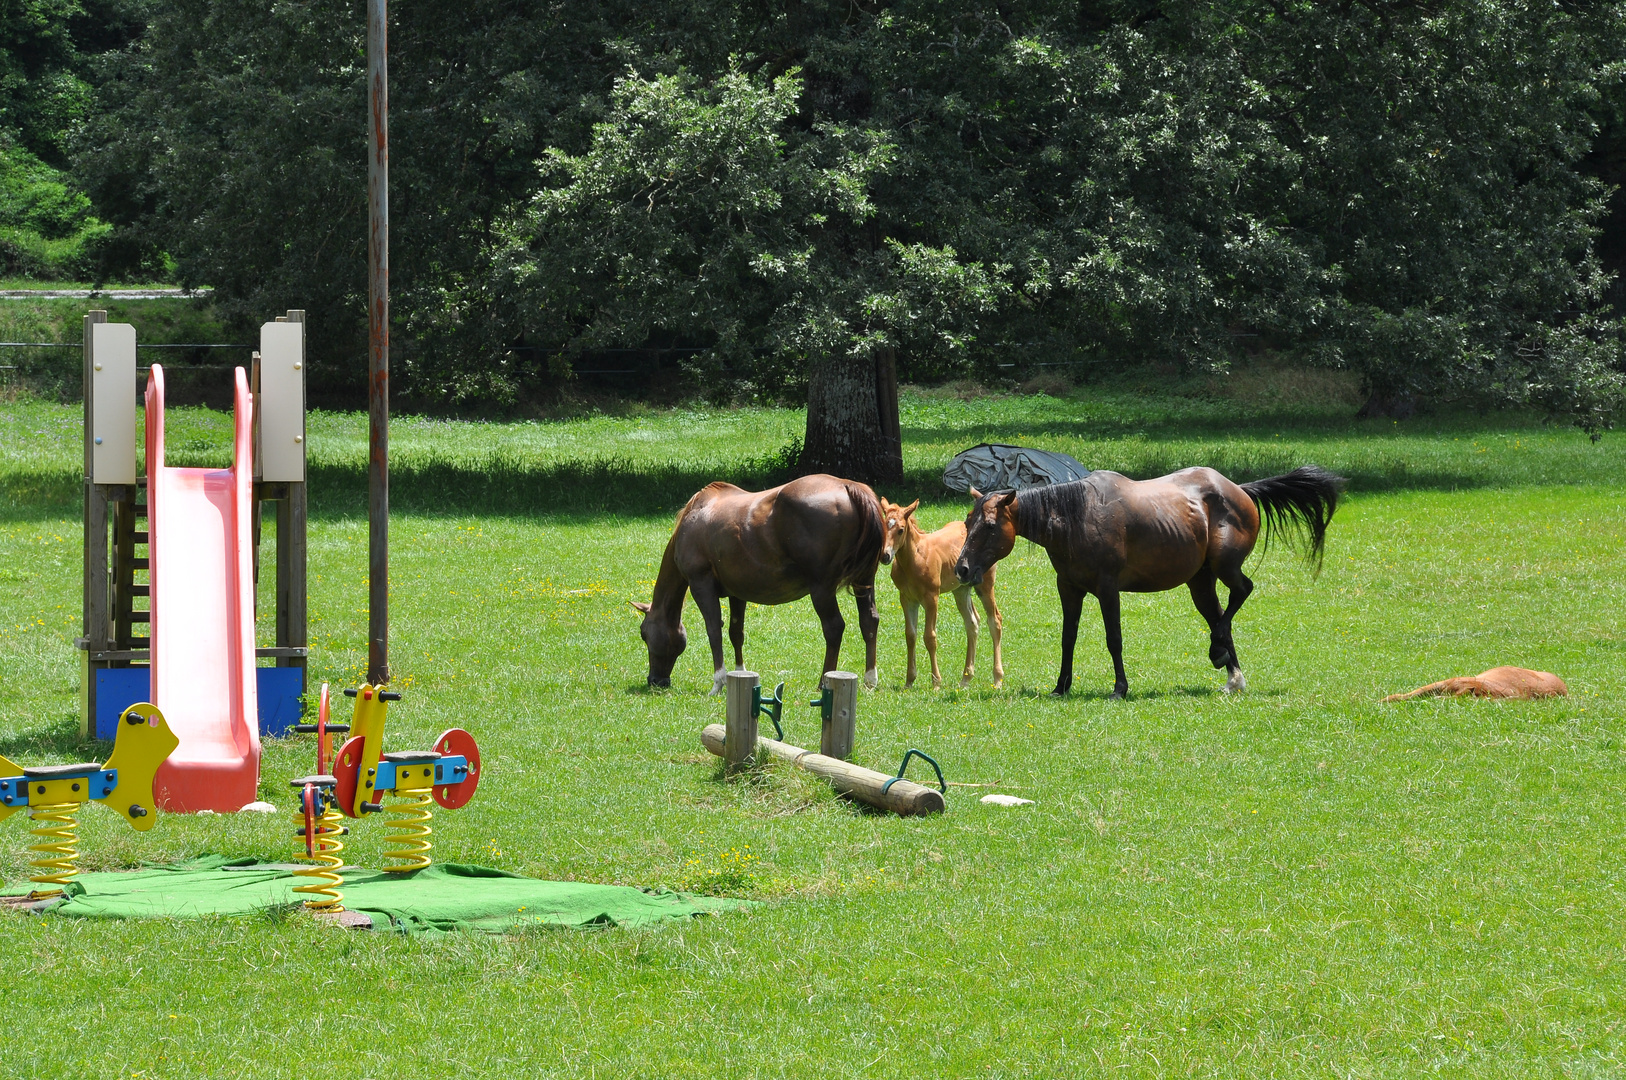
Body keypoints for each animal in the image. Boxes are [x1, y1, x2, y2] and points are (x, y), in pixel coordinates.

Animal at [634, 471, 891, 692]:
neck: (697, 513)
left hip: (822, 589)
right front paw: (739, 674)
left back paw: (823, 682)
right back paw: (870, 679)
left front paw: (719, 683)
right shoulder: (737, 592)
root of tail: (848, 486)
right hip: (864, 581)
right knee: (869, 620)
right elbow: (736, 632)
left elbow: (714, 630)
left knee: (834, 628)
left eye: (644, 633)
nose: (655, 680)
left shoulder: (701, 584)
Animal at [878, 500, 1001, 686]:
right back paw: (966, 679)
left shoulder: (931, 598)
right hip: (961, 590)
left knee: (995, 621)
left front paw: (936, 682)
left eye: (900, 529)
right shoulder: (907, 598)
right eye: (884, 526)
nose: (885, 556)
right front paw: (909, 680)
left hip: (985, 585)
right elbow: (910, 635)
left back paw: (998, 679)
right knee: (972, 622)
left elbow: (930, 637)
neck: (914, 559)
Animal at [949, 465, 1346, 699]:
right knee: (1220, 616)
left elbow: (1114, 639)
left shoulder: (1108, 589)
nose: (963, 569)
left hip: (1225, 567)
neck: (1077, 516)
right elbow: (1067, 638)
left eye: (989, 526)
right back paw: (1232, 675)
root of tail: (1239, 490)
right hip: (1200, 582)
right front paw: (1061, 687)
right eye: (967, 524)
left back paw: (1218, 654)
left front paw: (1119, 689)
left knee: (1241, 593)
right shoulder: (1069, 588)